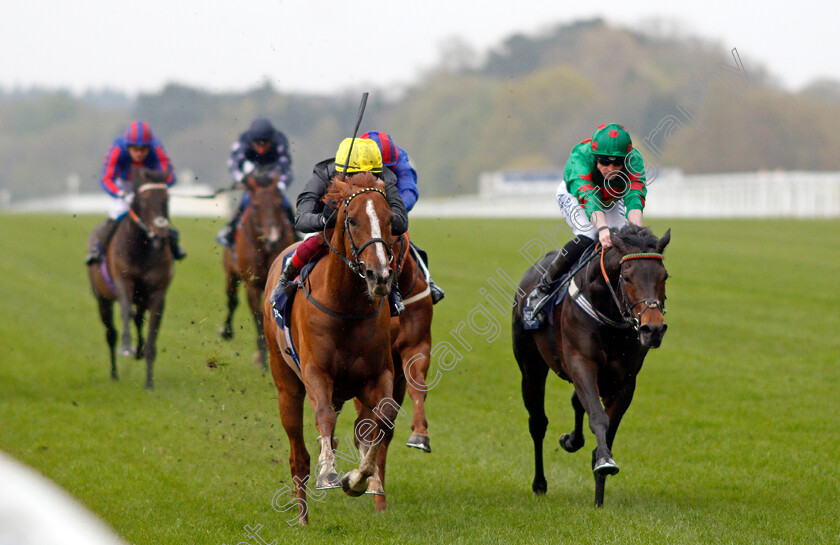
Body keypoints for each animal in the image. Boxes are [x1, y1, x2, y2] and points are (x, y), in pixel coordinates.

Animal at [88, 168, 175, 388]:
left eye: (167, 199)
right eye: (143, 200)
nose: (161, 234)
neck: (142, 249)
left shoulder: (157, 293)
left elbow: (152, 329)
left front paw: (149, 383)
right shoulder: (122, 282)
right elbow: (126, 312)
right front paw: (127, 347)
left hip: (141, 298)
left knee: (138, 319)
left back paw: (139, 351)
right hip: (102, 300)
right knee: (111, 333)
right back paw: (114, 374)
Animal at [220, 166, 296, 370]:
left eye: (279, 205)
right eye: (255, 206)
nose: (273, 238)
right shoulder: (251, 285)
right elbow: (258, 317)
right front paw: (262, 358)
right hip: (231, 273)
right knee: (231, 300)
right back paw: (226, 331)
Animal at [512, 224, 668, 506]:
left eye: (665, 276)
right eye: (627, 277)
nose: (653, 329)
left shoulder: (625, 380)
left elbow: (608, 427)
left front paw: (599, 494)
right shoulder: (581, 363)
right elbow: (597, 416)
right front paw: (605, 462)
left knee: (576, 401)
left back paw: (571, 441)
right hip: (530, 367)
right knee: (538, 422)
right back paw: (539, 483)